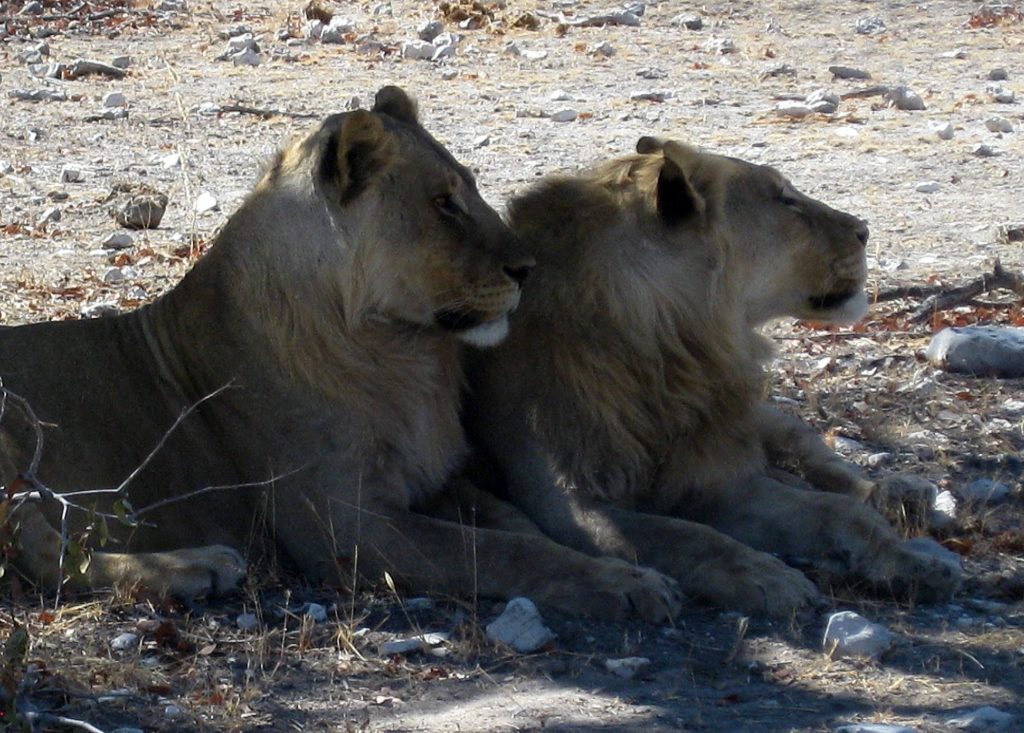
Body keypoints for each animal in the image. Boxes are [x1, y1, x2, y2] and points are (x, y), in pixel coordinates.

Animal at [2, 87, 688, 622]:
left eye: (470, 187)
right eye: (443, 202)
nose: (528, 268)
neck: (402, 355)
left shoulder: (434, 479)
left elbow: (517, 524)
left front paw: (621, 558)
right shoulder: (343, 522)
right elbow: (503, 551)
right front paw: (626, 587)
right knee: (42, 557)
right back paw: (198, 567)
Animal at [464, 139, 958, 618]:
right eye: (784, 199)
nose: (864, 230)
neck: (671, 352)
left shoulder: (718, 479)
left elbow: (833, 511)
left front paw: (913, 562)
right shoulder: (564, 499)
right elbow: (682, 535)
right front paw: (764, 576)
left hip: (767, 420)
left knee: (825, 463)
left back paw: (901, 493)